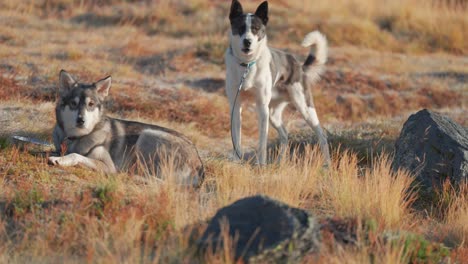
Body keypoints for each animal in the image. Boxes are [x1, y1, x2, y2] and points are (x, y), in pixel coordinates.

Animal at [225, 0, 330, 165]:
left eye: (256, 29)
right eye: (241, 28)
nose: (247, 41)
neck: (247, 65)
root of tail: (298, 65)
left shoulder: (262, 108)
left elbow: (262, 142)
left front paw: (261, 166)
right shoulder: (235, 106)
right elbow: (236, 138)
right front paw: (237, 162)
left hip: (304, 108)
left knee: (322, 136)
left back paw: (328, 165)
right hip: (273, 115)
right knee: (285, 135)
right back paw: (280, 163)